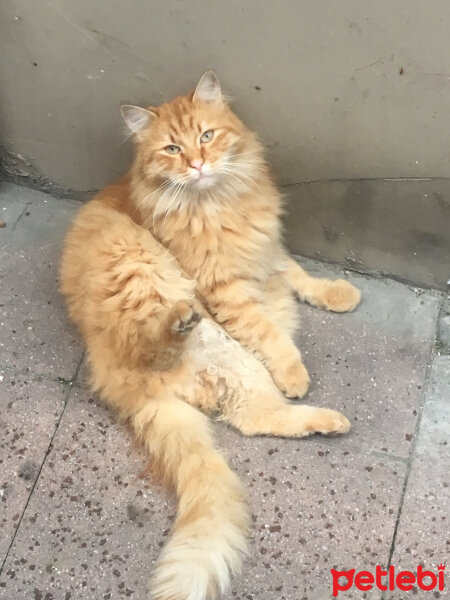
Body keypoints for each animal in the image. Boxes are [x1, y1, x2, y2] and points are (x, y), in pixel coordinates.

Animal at [60, 71, 362, 600]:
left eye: (206, 136)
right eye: (172, 148)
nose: (197, 165)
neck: (216, 202)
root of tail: (119, 385)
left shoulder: (266, 253)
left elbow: (300, 276)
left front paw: (337, 293)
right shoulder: (225, 291)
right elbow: (273, 335)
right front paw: (295, 370)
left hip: (234, 367)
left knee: (256, 417)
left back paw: (327, 422)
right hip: (157, 286)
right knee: (161, 346)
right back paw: (179, 321)